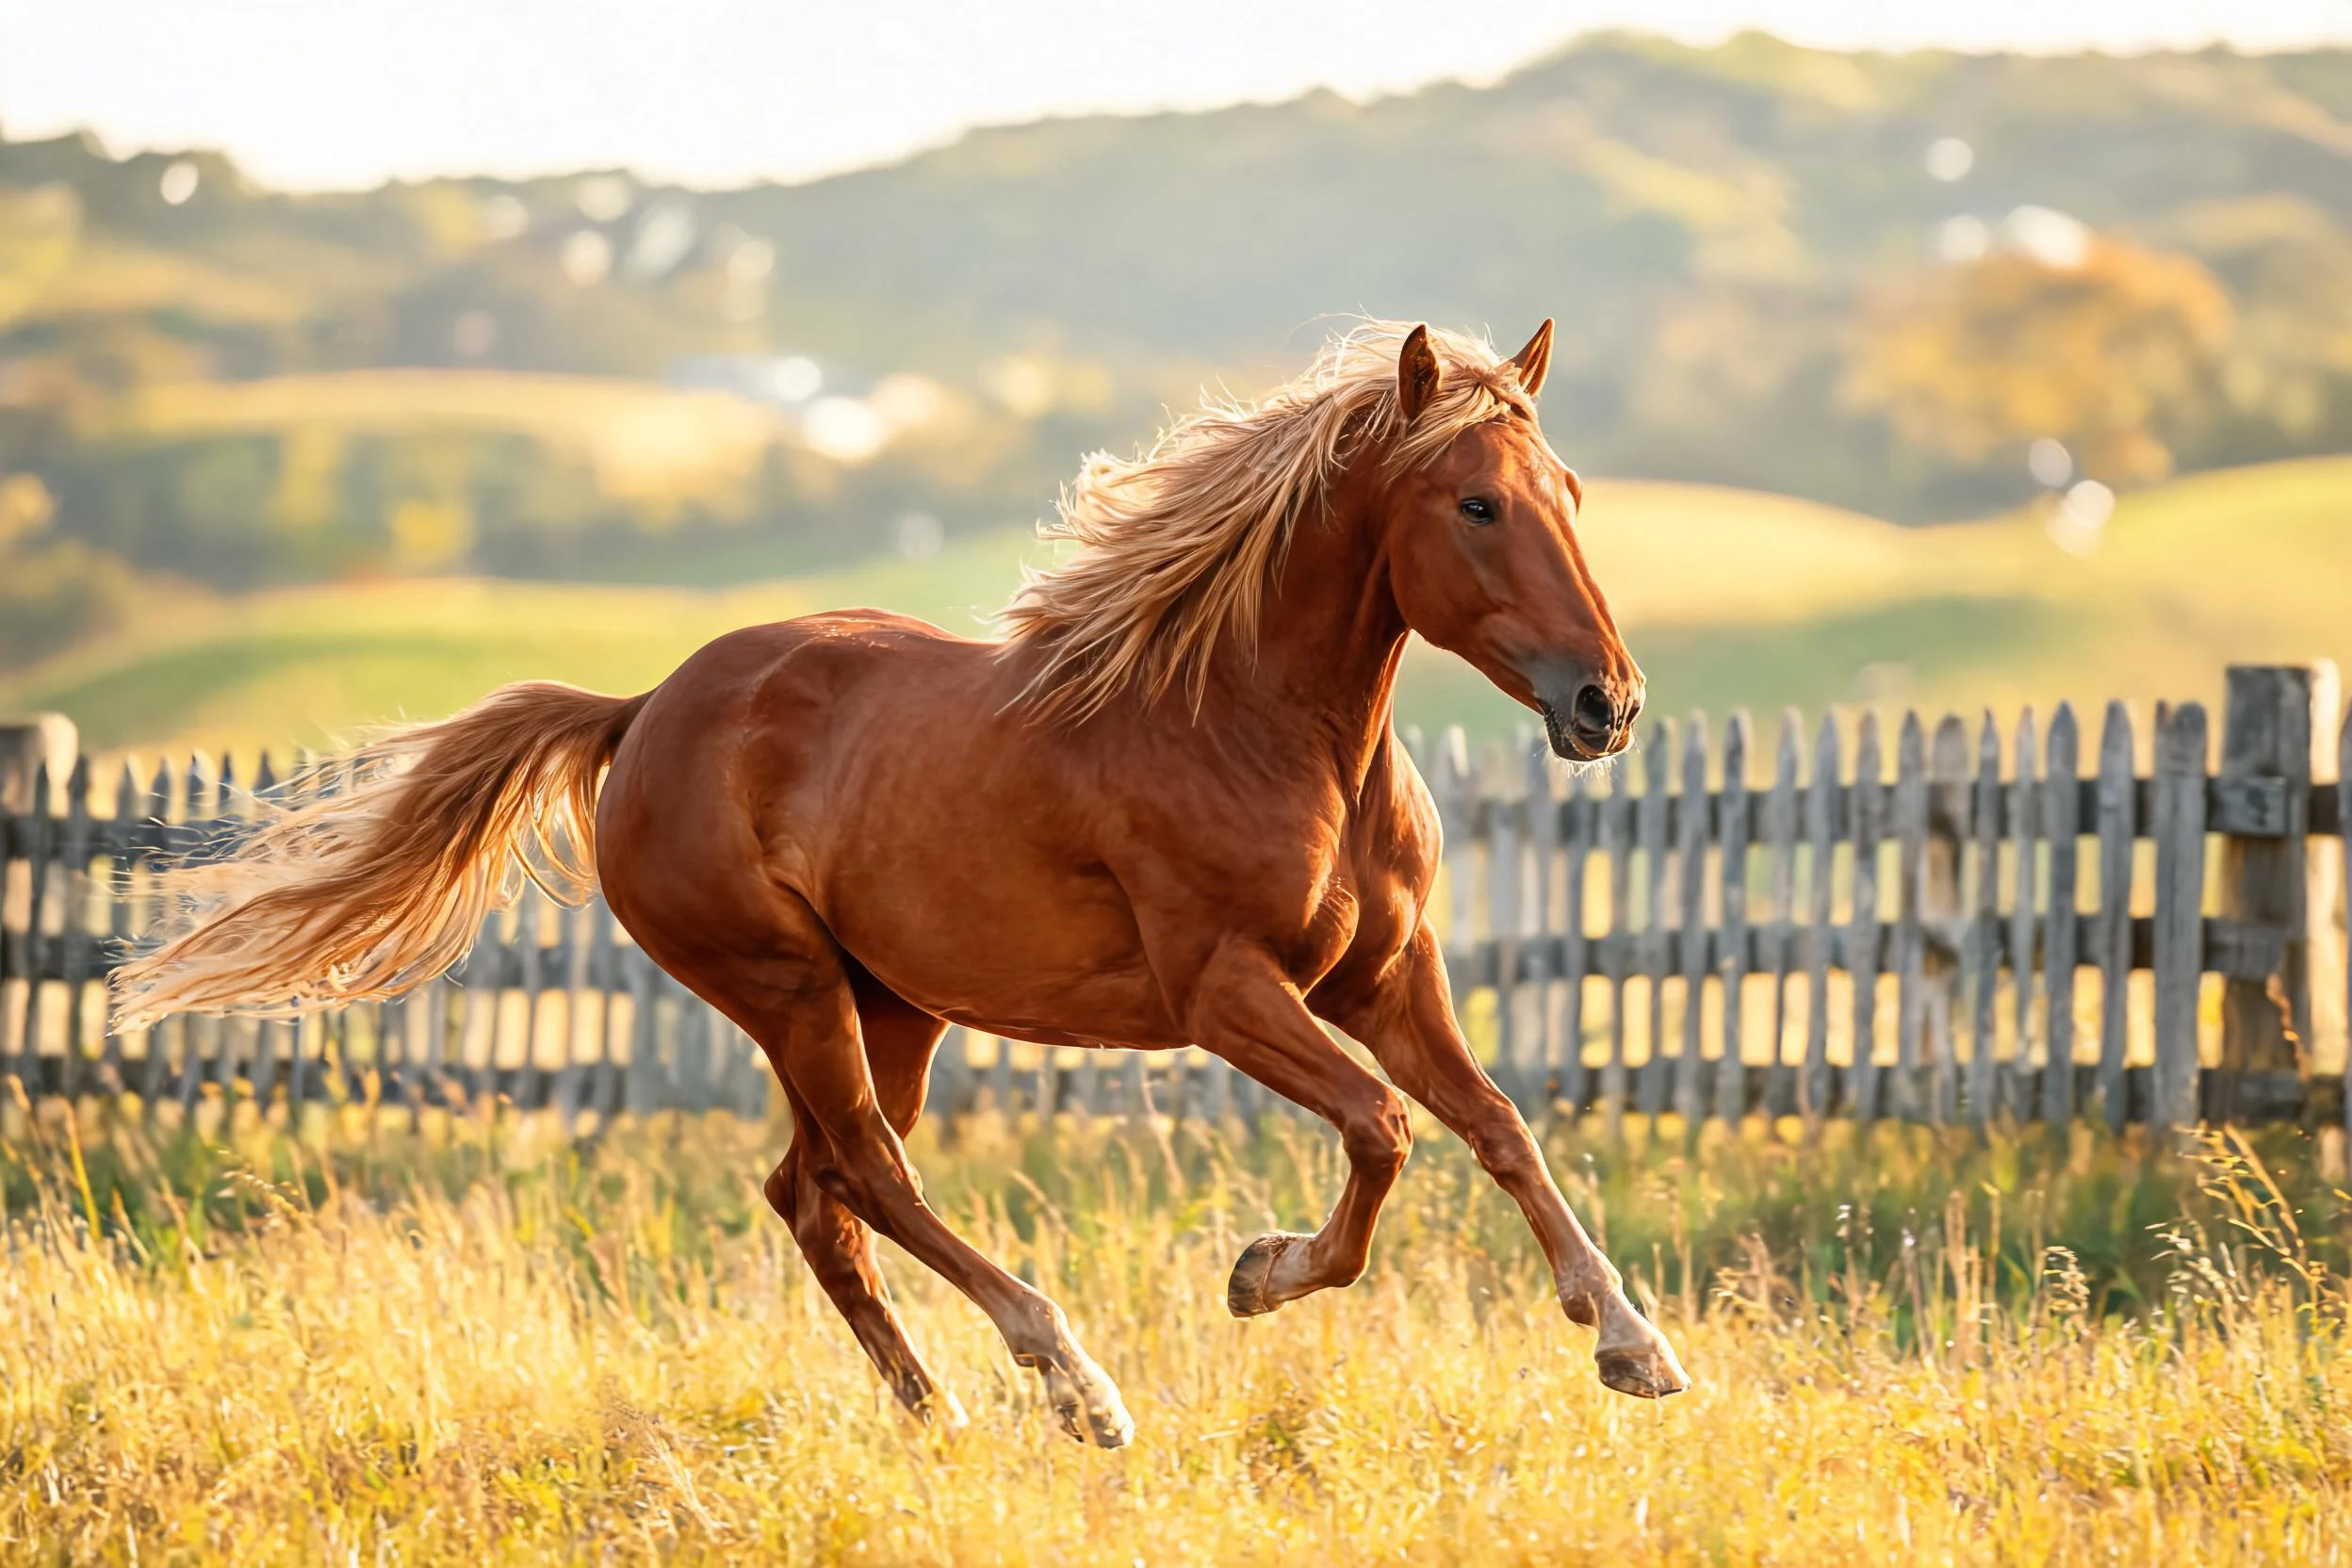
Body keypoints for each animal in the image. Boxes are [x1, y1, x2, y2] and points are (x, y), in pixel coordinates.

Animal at [113, 319, 1689, 1446]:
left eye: (1568, 493)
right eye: (1476, 504)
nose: (1607, 703)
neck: (1254, 723)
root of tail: (642, 714)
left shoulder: (1389, 977)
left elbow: (1495, 1126)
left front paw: (1634, 1345)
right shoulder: (1227, 992)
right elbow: (1383, 1130)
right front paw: (1257, 1275)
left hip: (894, 1009)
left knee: (814, 1197)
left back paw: (936, 1412)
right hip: (791, 989)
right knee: (869, 1174)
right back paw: (1071, 1382)